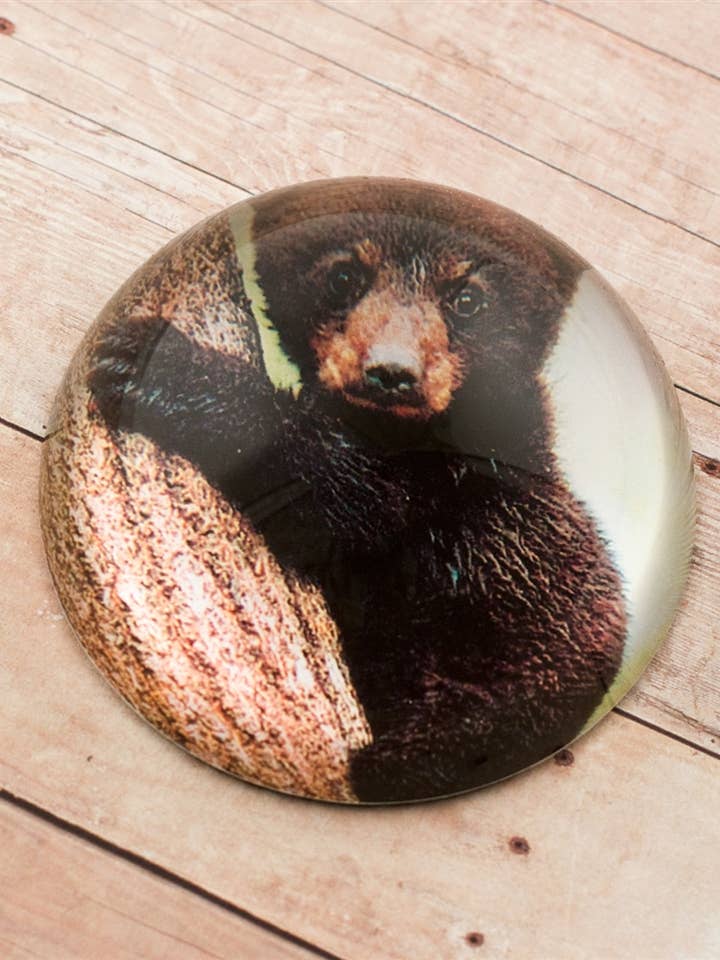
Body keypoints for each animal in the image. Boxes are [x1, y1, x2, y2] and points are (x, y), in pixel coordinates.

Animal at [87, 178, 627, 802]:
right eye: (343, 274)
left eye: (468, 298)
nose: (392, 373)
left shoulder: (469, 489)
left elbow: (355, 500)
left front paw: (149, 358)